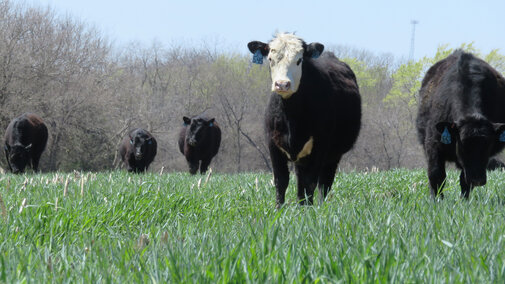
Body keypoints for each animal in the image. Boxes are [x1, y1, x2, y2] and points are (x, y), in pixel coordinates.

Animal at [247, 32, 358, 206]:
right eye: (270, 59)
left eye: (299, 60)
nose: (282, 84)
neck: (291, 116)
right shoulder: (272, 145)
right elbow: (281, 181)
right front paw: (279, 210)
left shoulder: (319, 147)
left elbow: (310, 183)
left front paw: (307, 210)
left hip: (333, 155)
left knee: (324, 184)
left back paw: (320, 206)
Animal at [416, 49, 504, 200]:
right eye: (463, 143)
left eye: (488, 145)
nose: (477, 179)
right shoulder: (432, 144)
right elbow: (436, 175)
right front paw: (436, 200)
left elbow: (464, 180)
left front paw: (464, 201)